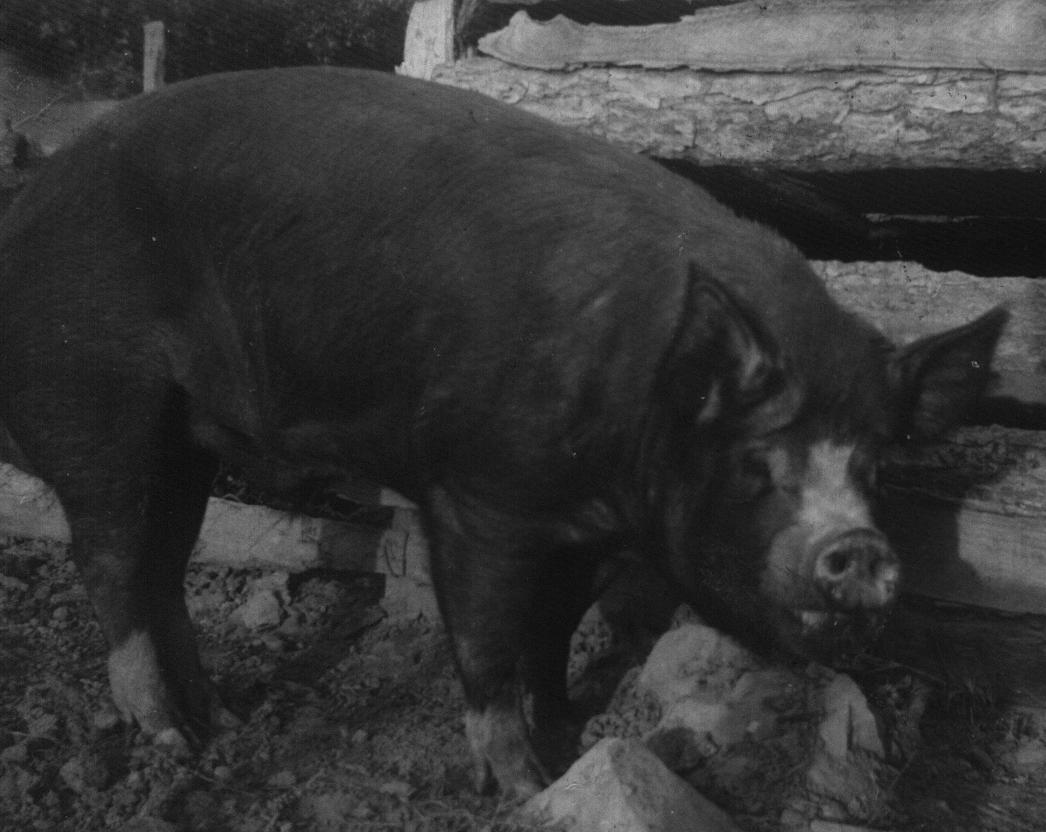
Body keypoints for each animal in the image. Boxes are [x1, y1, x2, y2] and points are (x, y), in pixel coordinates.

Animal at [0, 67, 1006, 799]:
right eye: (760, 462)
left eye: (874, 466)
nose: (861, 548)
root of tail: (33, 197)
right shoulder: (480, 495)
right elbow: (486, 640)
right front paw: (521, 785)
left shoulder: (590, 532)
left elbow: (552, 631)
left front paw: (564, 733)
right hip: (99, 399)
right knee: (112, 561)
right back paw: (169, 736)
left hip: (187, 438)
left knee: (165, 564)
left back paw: (222, 720)